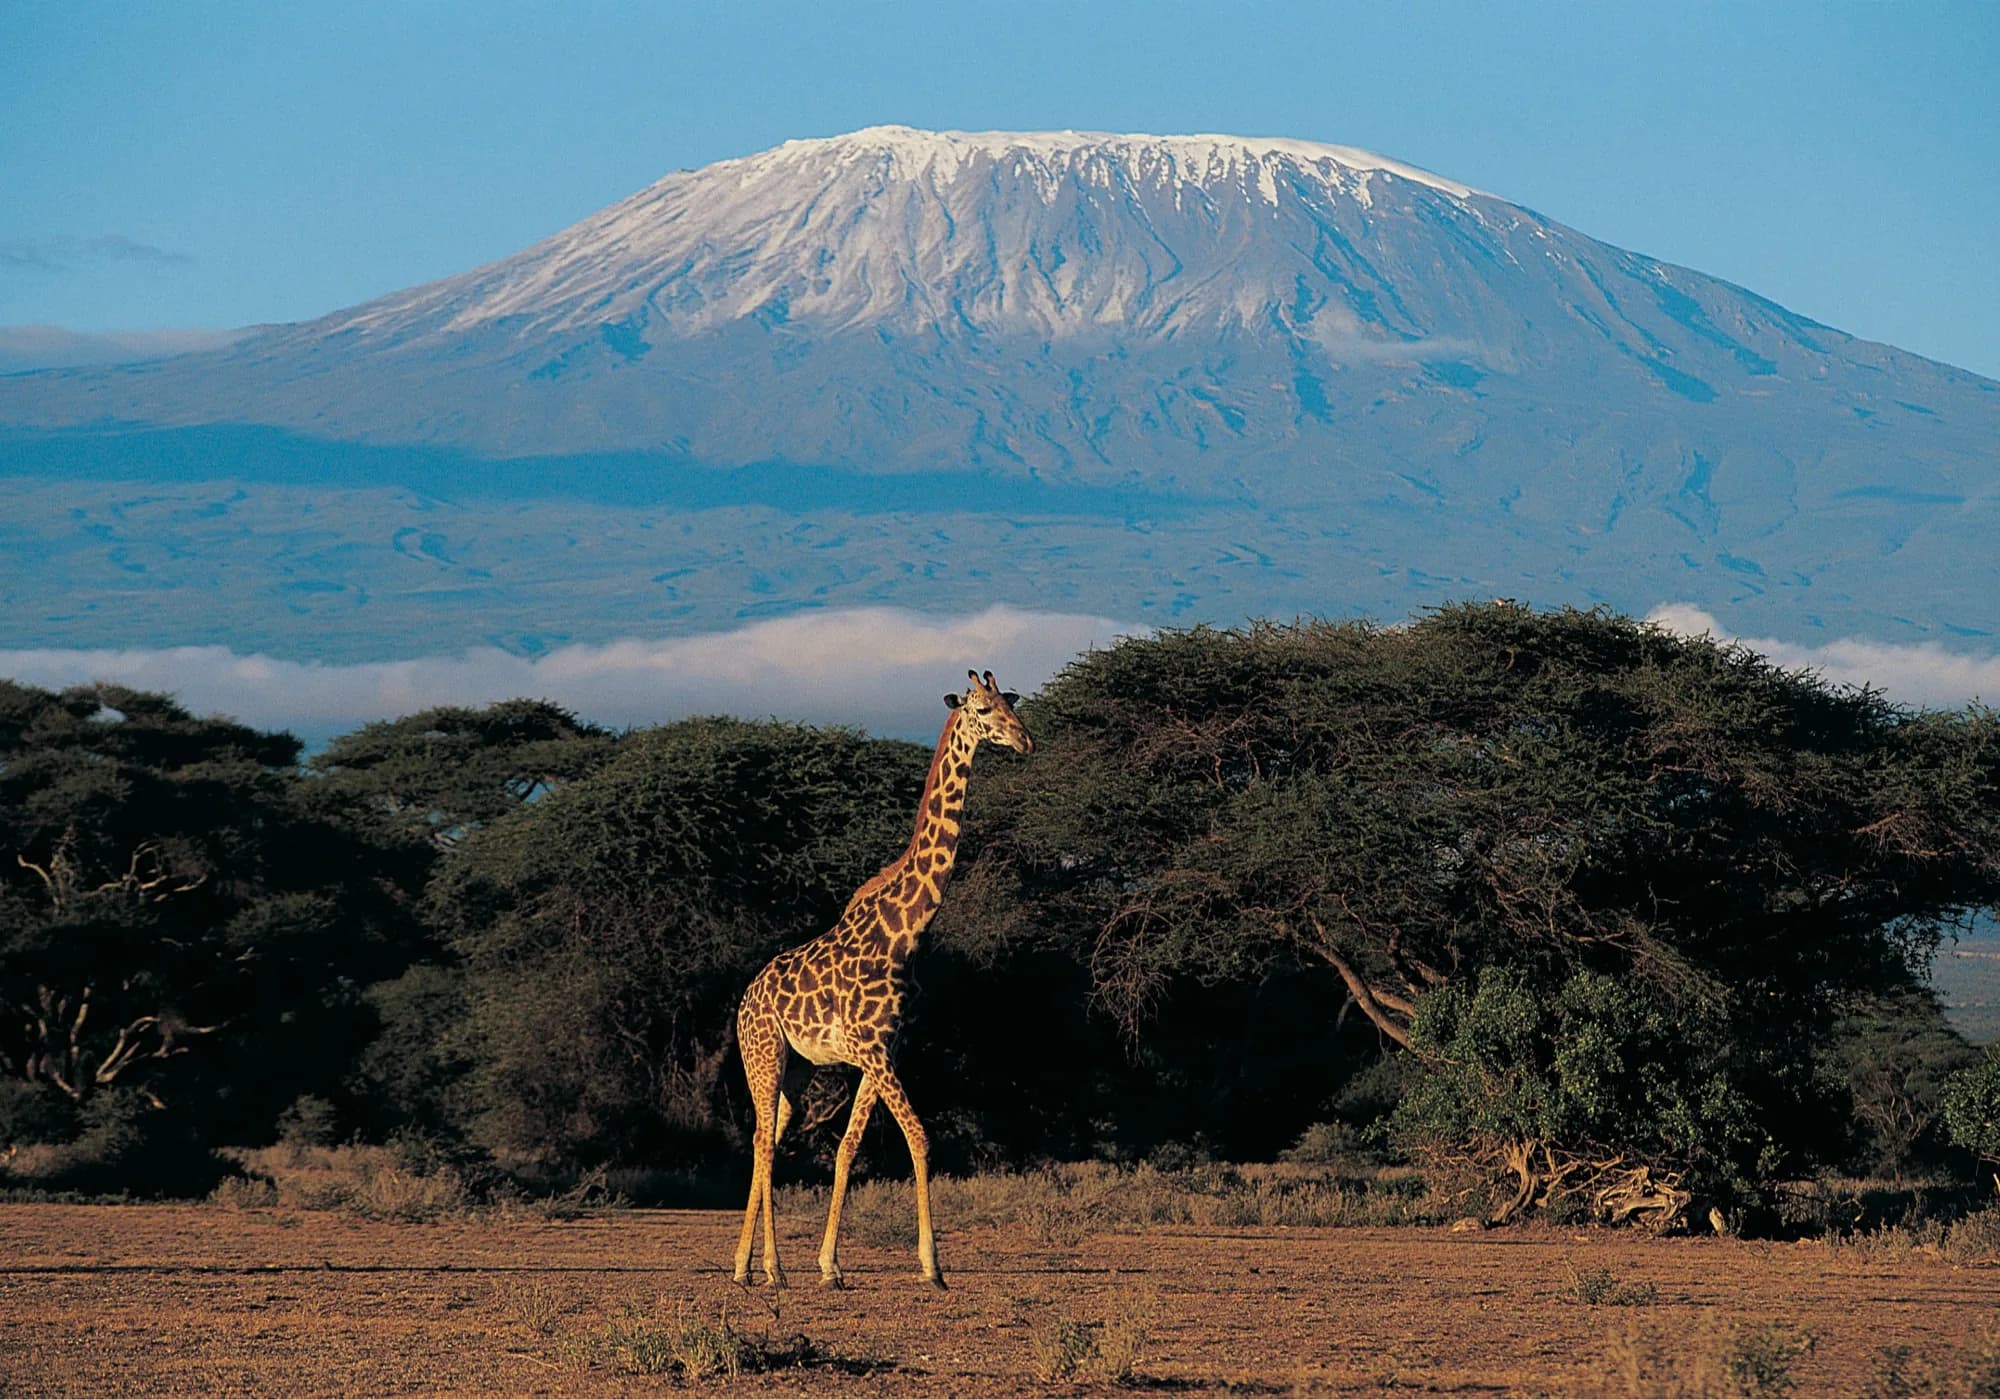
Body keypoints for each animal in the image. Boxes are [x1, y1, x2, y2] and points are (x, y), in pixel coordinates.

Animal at [731, 669, 1033, 1290]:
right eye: (983, 709)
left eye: (1011, 703)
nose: (1024, 741)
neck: (906, 930)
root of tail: (744, 1001)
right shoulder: (872, 1050)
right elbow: (919, 1135)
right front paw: (932, 1267)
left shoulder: (884, 1049)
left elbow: (848, 1146)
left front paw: (830, 1265)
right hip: (763, 1055)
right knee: (763, 1141)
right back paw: (771, 1267)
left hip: (796, 1069)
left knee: (767, 1138)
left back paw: (744, 1265)